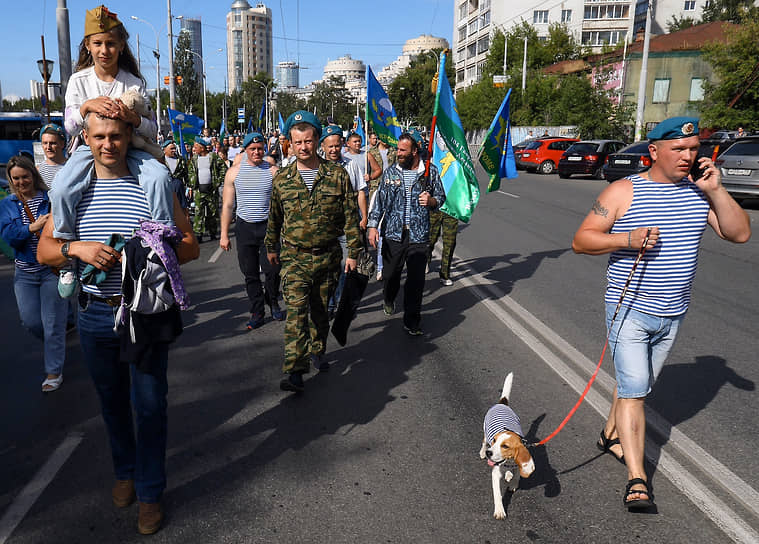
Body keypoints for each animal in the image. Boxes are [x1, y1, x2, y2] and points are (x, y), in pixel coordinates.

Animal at [478, 372, 536, 520]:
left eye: (505, 446)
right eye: (494, 441)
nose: (489, 453)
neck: (509, 462)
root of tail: (502, 404)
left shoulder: (518, 464)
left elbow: (517, 475)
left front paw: (513, 482)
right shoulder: (495, 473)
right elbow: (498, 494)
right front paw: (499, 510)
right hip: (485, 433)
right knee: (483, 442)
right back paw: (482, 452)